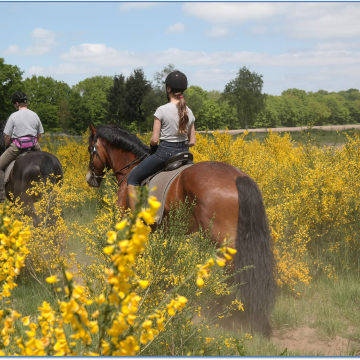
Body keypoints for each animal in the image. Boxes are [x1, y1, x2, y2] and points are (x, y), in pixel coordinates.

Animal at [86, 124, 276, 338]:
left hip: (220, 239)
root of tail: (239, 177)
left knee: (231, 270)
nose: (90, 179)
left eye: (90, 149)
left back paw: (216, 308)